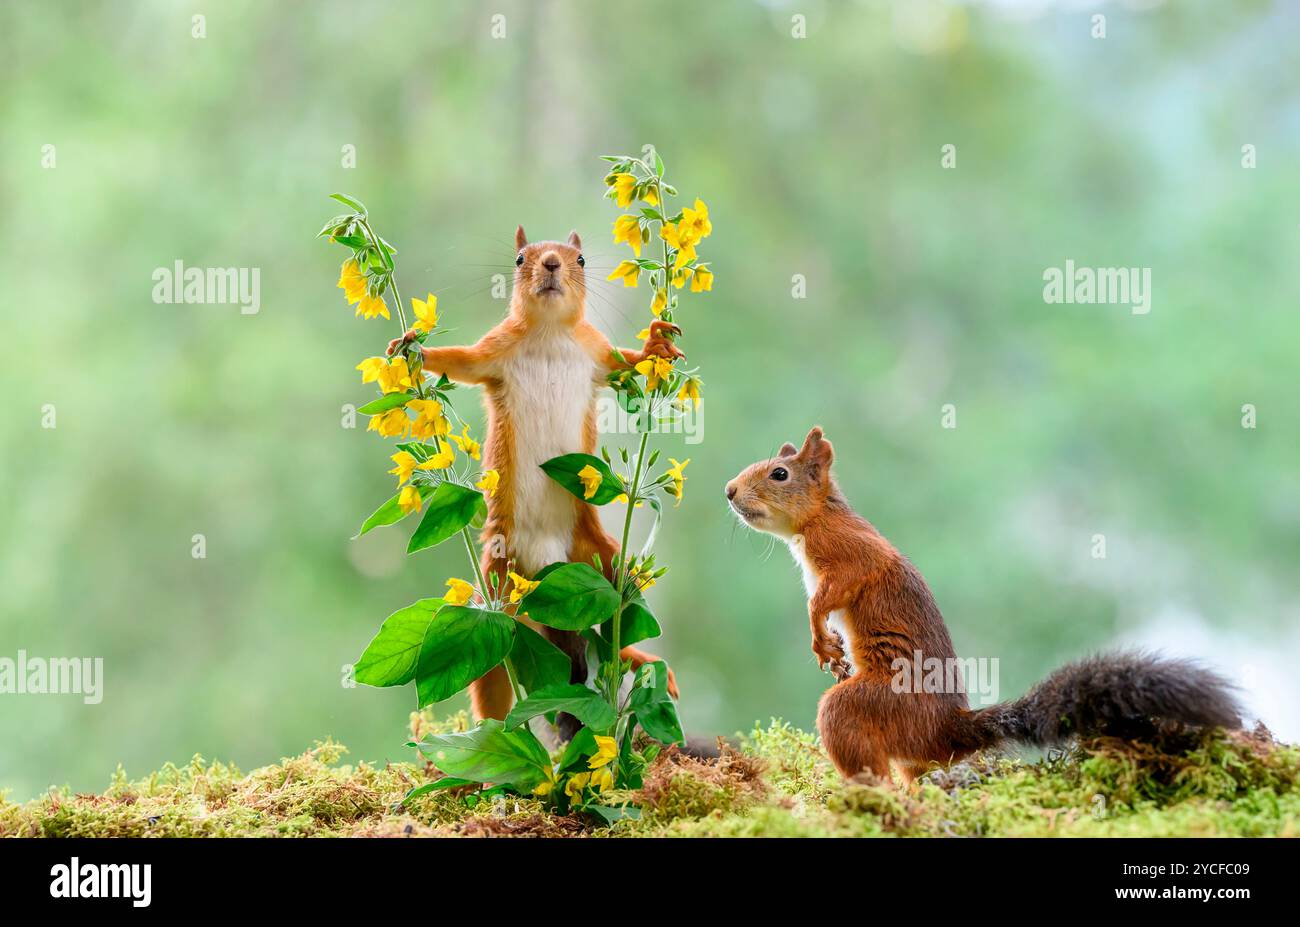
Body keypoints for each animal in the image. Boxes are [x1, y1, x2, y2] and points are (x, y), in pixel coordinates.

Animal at [390, 223, 686, 722]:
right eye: (519, 258)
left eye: (580, 260)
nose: (549, 263)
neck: (548, 333)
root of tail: (542, 566)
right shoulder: (492, 352)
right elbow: (459, 361)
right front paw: (414, 349)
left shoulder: (598, 354)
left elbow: (627, 362)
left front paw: (656, 343)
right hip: (496, 578)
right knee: (497, 661)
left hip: (600, 557)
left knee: (617, 616)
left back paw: (638, 657)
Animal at [728, 426, 1242, 780]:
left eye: (779, 473)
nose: (729, 491)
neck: (817, 518)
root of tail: (947, 731)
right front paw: (831, 649)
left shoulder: (850, 553)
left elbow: (830, 595)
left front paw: (819, 637)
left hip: (872, 707)